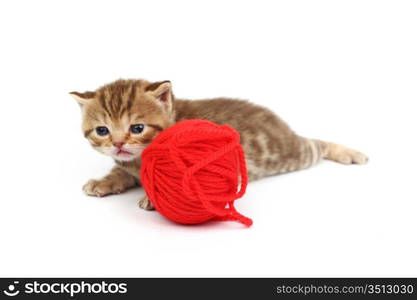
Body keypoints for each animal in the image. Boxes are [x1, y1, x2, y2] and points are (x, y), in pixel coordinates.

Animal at [71, 78, 368, 210]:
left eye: (137, 128)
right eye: (102, 130)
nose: (118, 144)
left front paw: (155, 198)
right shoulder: (127, 164)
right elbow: (121, 171)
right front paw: (103, 182)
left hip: (292, 152)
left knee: (317, 144)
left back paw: (349, 153)